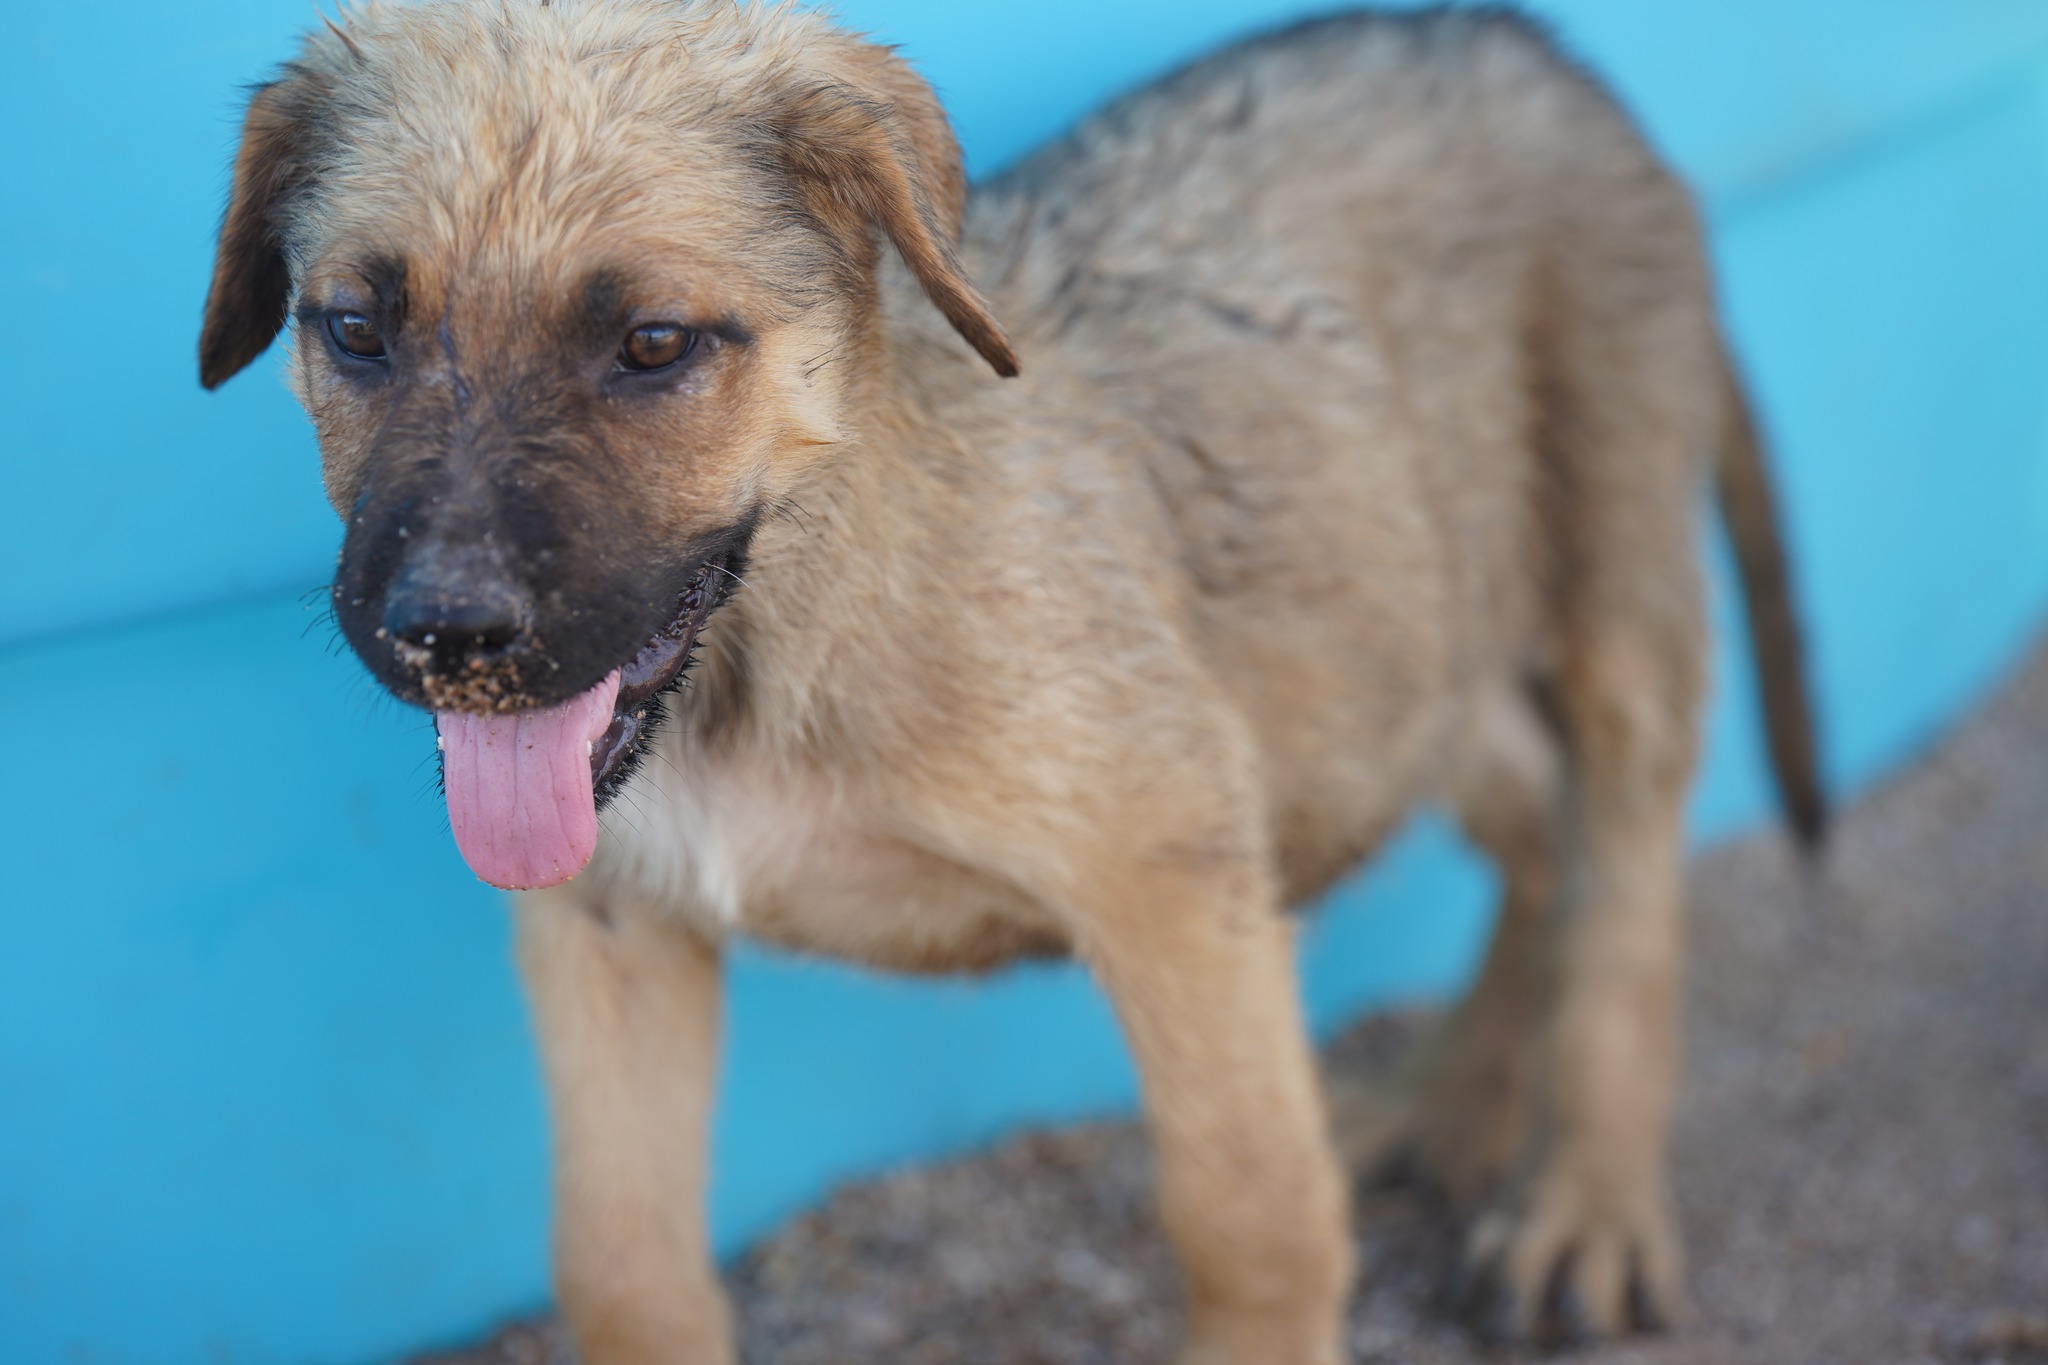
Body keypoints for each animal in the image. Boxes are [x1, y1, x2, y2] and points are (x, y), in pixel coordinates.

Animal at [195, 5, 1826, 1358]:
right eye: (356, 330)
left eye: (653, 344)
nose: (442, 635)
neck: (780, 637)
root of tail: (1525, 45)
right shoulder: (610, 929)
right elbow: (621, 1267)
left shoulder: (1176, 879)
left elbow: (1252, 1218)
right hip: (1398, 658)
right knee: (1539, 834)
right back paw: (1447, 1105)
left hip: (1606, 589)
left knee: (1625, 883)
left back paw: (1586, 1206)